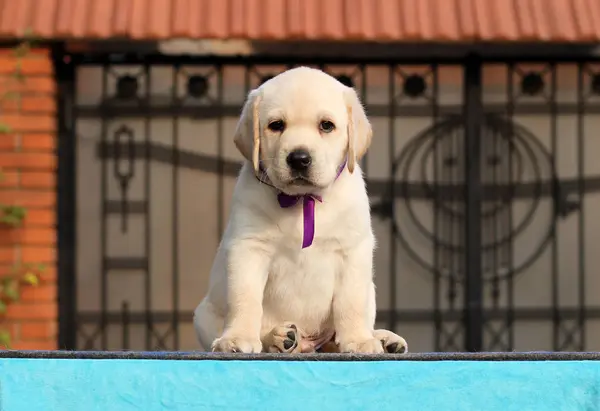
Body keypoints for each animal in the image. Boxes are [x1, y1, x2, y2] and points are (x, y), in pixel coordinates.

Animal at [192, 67, 408, 354]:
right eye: (276, 125)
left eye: (326, 125)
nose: (299, 158)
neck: (303, 200)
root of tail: (309, 342)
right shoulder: (248, 248)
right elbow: (245, 297)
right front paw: (237, 337)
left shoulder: (352, 250)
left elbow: (351, 302)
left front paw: (359, 340)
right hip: (203, 315)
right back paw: (281, 338)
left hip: (369, 292)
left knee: (337, 337)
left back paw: (384, 339)